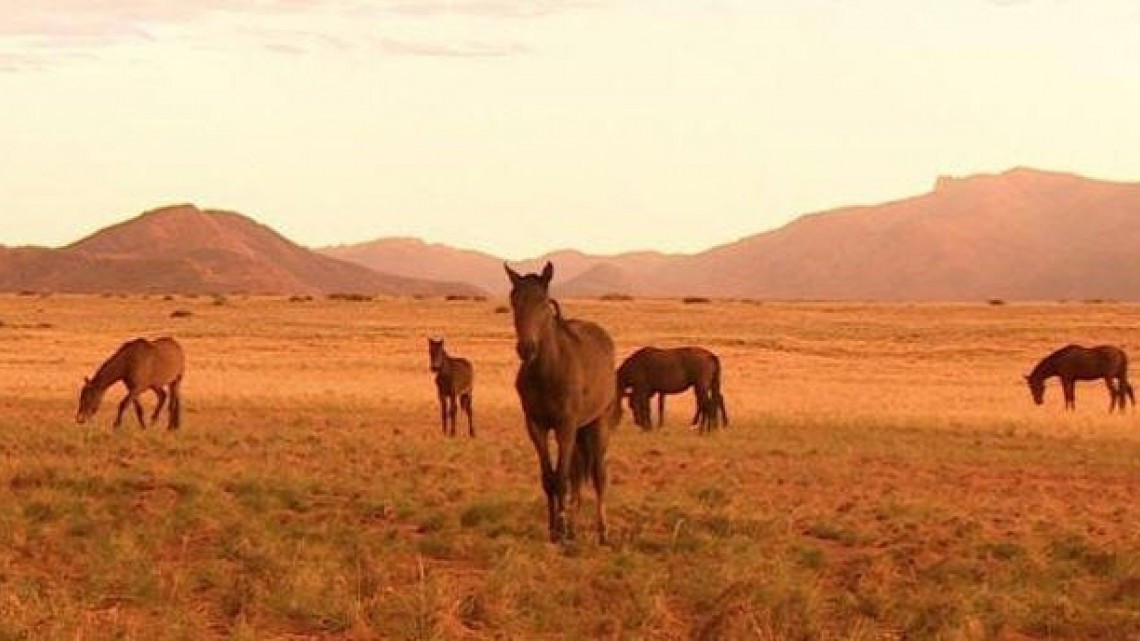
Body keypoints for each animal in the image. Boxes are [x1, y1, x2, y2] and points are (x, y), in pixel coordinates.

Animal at [506, 261, 620, 543]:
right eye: (514, 300)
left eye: (543, 301)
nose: (526, 348)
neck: (548, 371)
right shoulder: (536, 426)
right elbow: (550, 478)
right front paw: (554, 530)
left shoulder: (565, 427)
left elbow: (562, 479)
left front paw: (561, 529)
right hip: (579, 432)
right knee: (578, 477)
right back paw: (573, 526)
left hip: (597, 424)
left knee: (598, 475)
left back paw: (602, 532)